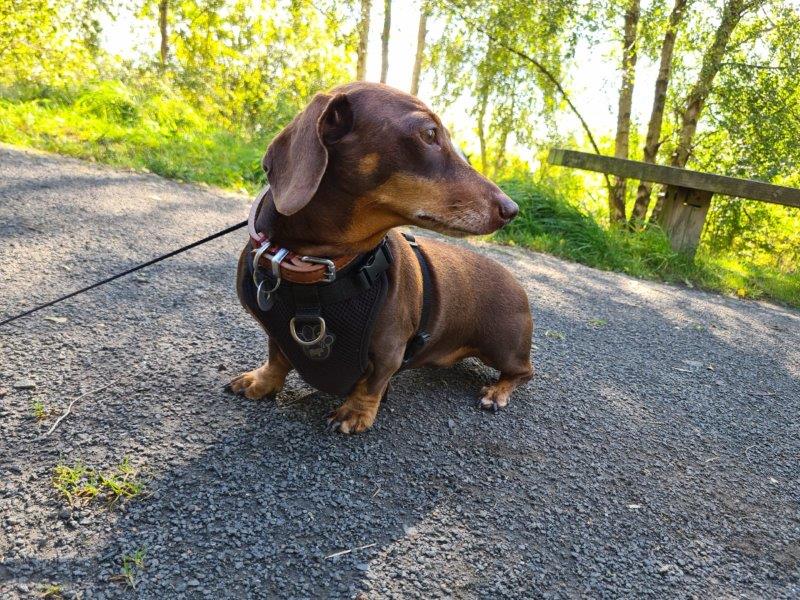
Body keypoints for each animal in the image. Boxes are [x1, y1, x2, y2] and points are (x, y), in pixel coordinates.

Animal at [229, 82, 533, 433]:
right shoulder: (275, 333)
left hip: (503, 348)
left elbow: (373, 382)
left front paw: (355, 413)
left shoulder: (390, 349)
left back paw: (497, 392)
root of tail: (517, 283)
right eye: (430, 133)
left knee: (524, 372)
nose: (512, 209)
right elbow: (277, 356)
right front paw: (261, 382)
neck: (317, 271)